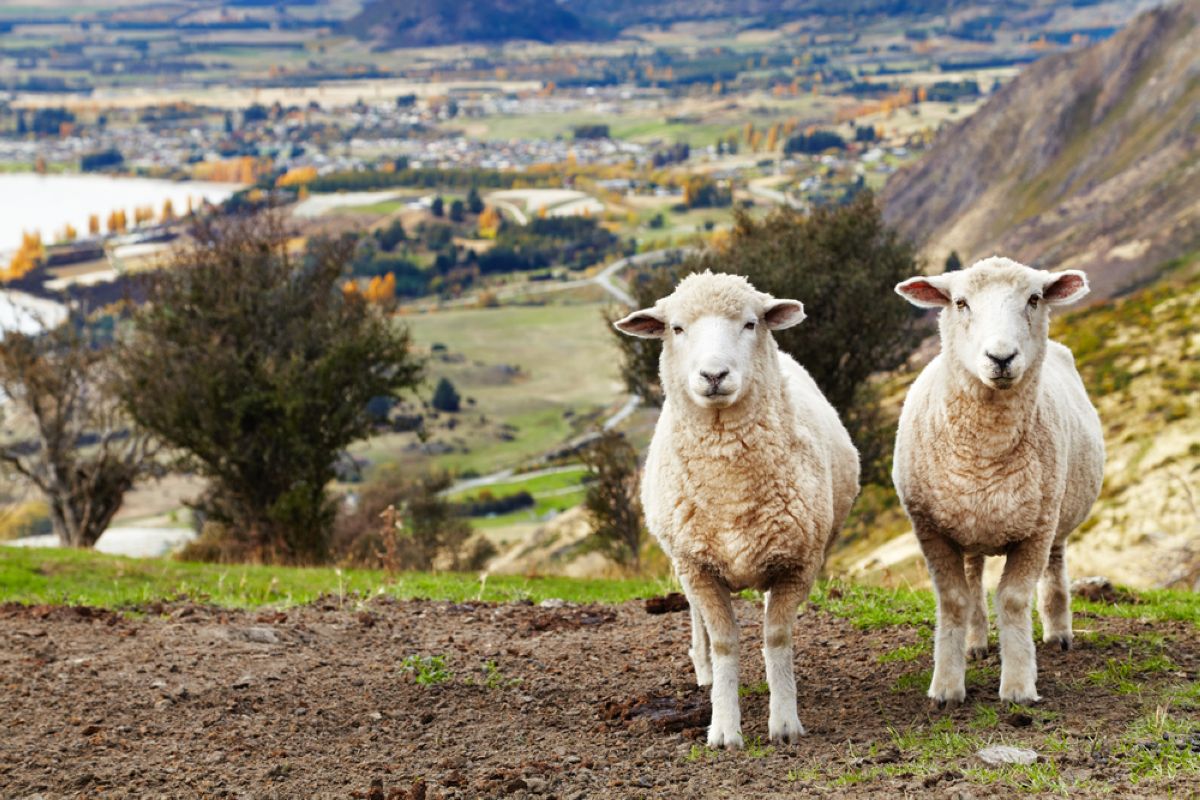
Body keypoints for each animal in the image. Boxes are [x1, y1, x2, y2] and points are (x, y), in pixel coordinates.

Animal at [614, 272, 859, 748]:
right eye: (676, 328)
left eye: (750, 323)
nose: (714, 375)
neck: (731, 491)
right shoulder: (697, 567)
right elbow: (725, 641)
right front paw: (724, 728)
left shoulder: (797, 563)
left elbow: (777, 636)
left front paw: (784, 721)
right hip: (684, 560)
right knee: (697, 621)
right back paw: (704, 670)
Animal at [897, 256, 1099, 705]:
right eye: (960, 302)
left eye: (1035, 298)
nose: (1001, 357)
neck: (986, 457)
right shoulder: (932, 530)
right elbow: (954, 600)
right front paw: (946, 686)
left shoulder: (1036, 530)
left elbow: (1013, 600)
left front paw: (1019, 685)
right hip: (969, 524)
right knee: (973, 579)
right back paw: (975, 643)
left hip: (1056, 513)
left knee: (1055, 567)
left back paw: (1058, 632)